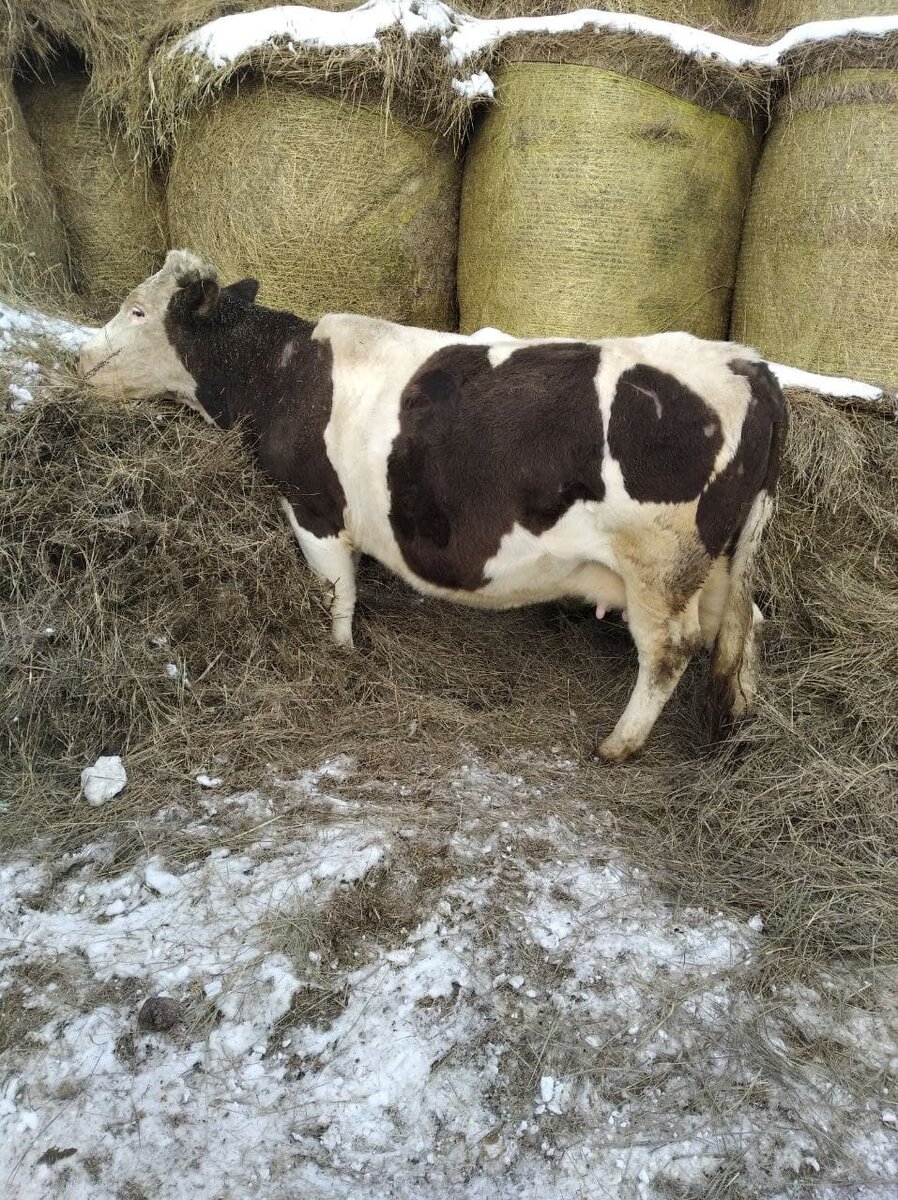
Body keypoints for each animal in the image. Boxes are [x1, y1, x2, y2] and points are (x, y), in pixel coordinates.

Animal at [77, 250, 786, 762]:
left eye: (136, 311)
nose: (79, 355)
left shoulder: (313, 508)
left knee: (670, 648)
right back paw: (737, 718)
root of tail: (747, 361)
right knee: (744, 622)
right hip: (717, 559)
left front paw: (342, 659)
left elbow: (337, 596)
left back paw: (619, 744)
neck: (282, 372)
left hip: (659, 565)